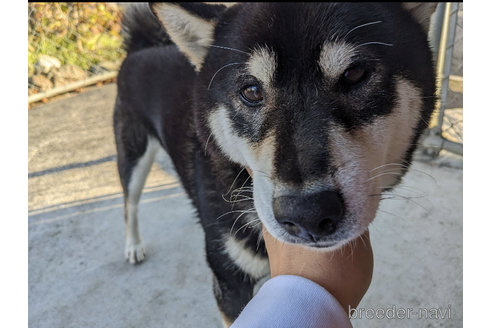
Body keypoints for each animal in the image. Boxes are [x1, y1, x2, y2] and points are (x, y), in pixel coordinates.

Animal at [113, 2, 436, 324]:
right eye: (251, 91)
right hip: (133, 158)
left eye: (354, 73)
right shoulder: (229, 283)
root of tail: (141, 49)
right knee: (130, 204)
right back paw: (132, 246)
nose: (308, 213)